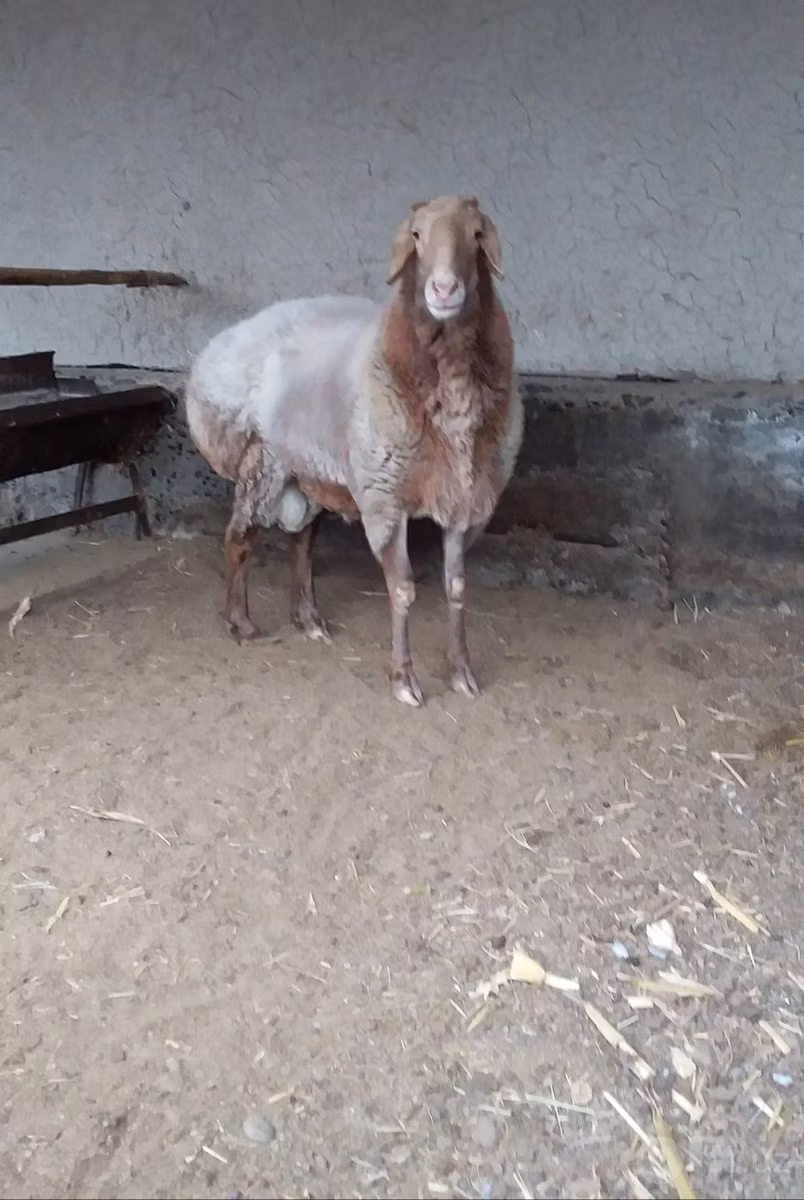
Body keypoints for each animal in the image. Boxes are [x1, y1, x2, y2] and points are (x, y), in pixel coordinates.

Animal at [185, 195, 524, 706]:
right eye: (417, 235)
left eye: (477, 235)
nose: (445, 289)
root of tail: (226, 339)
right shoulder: (385, 499)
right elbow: (402, 589)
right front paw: (404, 679)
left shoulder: (462, 501)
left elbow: (457, 588)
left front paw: (461, 672)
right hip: (264, 462)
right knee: (240, 536)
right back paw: (241, 623)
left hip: (309, 469)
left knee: (302, 540)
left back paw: (308, 619)